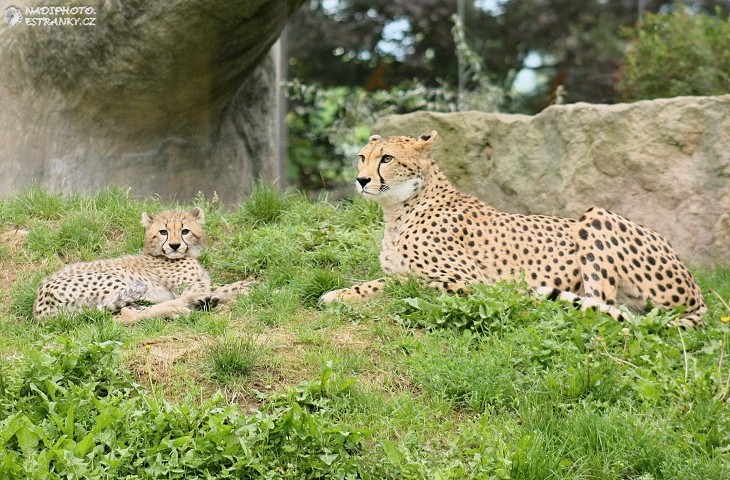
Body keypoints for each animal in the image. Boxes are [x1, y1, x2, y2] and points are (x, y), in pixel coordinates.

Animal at [34, 208, 253, 324]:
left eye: (185, 231)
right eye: (163, 232)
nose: (175, 245)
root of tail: (39, 306)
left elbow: (222, 287)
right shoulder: (186, 287)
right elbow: (221, 288)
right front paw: (248, 287)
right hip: (118, 282)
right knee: (126, 315)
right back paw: (183, 306)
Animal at [320, 130, 704, 326]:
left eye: (386, 158)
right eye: (362, 157)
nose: (361, 180)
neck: (402, 207)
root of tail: (697, 293)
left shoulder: (468, 282)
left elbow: (394, 282)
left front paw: (338, 295)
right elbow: (389, 278)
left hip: (597, 217)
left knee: (604, 309)